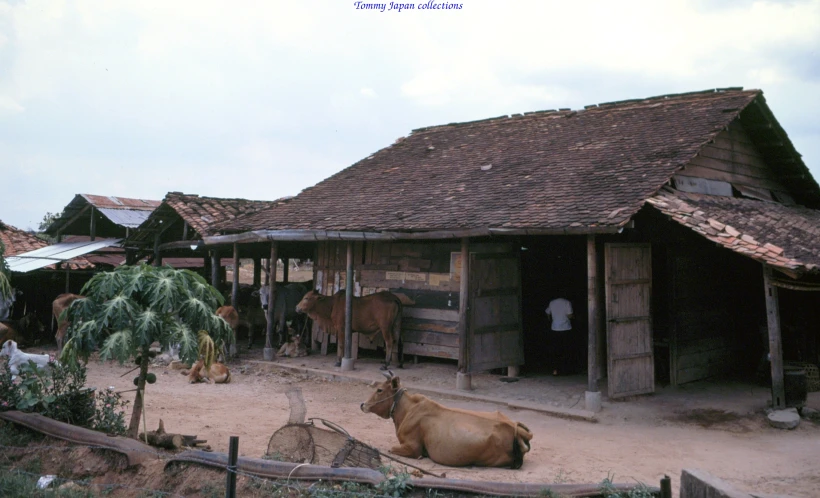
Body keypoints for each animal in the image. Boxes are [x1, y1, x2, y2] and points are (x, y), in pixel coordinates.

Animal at [362, 372, 536, 468]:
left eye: (379, 390)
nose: (362, 404)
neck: (407, 409)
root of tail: (514, 427)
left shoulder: (412, 448)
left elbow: (392, 448)